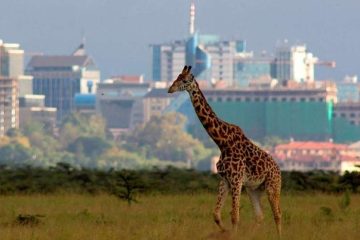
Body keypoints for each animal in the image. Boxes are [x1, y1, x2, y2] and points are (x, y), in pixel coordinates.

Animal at [167, 64, 282, 235]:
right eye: (177, 77)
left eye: (185, 80)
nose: (170, 89)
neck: (222, 142)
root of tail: (279, 170)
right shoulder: (224, 180)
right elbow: (216, 214)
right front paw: (225, 231)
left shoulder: (236, 180)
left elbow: (234, 216)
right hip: (254, 189)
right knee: (260, 216)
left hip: (272, 186)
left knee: (277, 214)